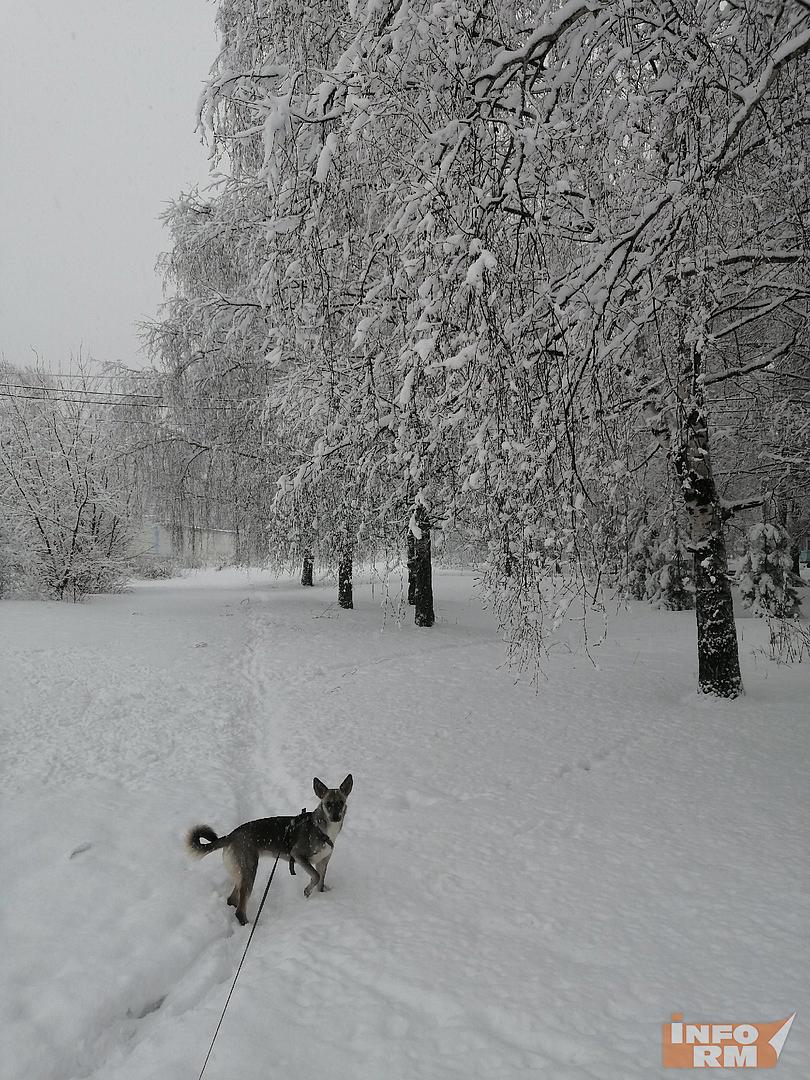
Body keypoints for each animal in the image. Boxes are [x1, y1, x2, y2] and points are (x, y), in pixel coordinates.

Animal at [190, 773, 354, 924]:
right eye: (328, 804)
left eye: (341, 802)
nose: (336, 817)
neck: (322, 829)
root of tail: (231, 835)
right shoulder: (299, 855)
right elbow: (316, 876)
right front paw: (307, 891)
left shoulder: (323, 862)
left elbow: (320, 881)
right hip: (249, 871)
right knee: (240, 910)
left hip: (240, 873)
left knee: (232, 899)